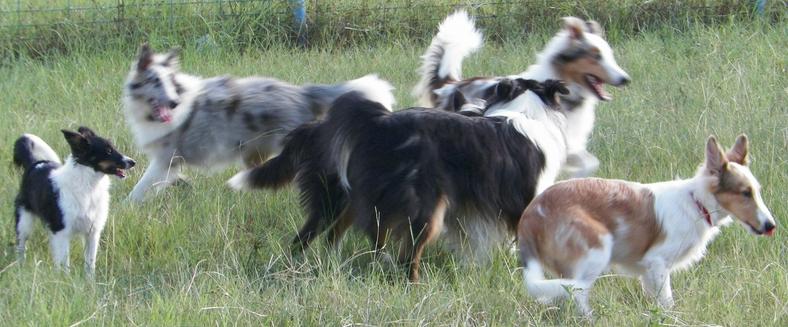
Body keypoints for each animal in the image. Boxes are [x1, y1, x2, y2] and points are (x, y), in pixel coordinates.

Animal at [13, 127, 135, 276]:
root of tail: (36, 164)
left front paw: (90, 281)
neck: (89, 186)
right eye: (108, 151)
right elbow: (64, 262)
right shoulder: (62, 232)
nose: (133, 162)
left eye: (114, 148)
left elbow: (90, 263)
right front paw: (64, 278)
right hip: (24, 222)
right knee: (21, 244)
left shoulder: (92, 232)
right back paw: (20, 265)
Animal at [124, 43, 394, 202]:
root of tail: (303, 93)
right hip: (253, 154)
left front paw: (126, 208)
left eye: (171, 82)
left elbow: (140, 188)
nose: (174, 103)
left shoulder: (165, 161)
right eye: (155, 81)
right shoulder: (170, 164)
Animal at [231, 78, 568, 280]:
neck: (527, 111)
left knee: (313, 236)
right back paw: (413, 283)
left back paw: (316, 267)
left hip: (343, 200)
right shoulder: (523, 200)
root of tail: (375, 122)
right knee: (407, 255)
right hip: (424, 205)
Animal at [516, 134, 776, 318]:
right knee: (578, 293)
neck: (696, 203)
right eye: (745, 193)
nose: (770, 225)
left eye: (757, 191)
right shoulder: (657, 264)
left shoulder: (648, 274)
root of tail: (531, 215)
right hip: (597, 250)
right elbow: (668, 304)